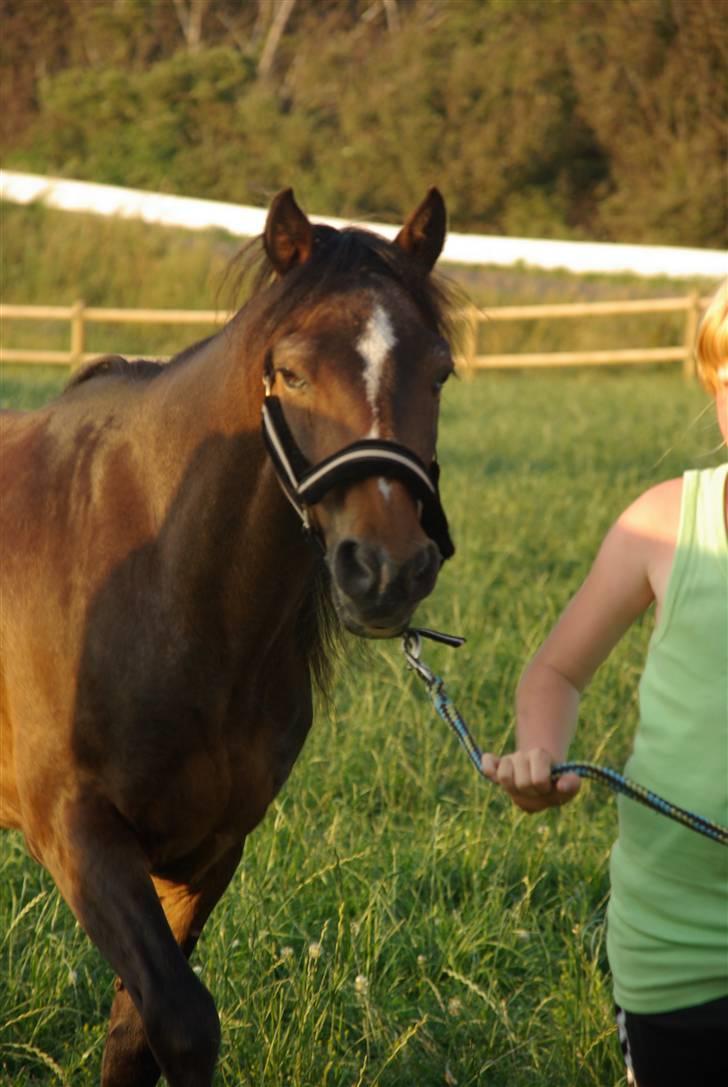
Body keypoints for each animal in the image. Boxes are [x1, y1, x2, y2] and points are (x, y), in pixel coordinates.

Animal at [0, 182, 456, 1082]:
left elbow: (138, 1031)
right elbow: (181, 1019)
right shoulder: (77, 831)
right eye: (292, 372)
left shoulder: (211, 848)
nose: (387, 567)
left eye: (441, 371)